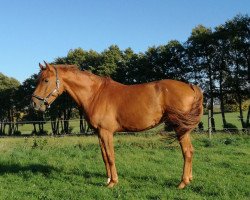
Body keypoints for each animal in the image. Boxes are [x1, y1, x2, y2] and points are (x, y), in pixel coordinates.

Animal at [31, 62, 203, 189]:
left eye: (46, 80)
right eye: (38, 79)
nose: (34, 104)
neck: (95, 94)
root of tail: (190, 86)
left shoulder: (106, 132)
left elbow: (111, 156)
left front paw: (113, 182)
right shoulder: (99, 133)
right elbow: (104, 157)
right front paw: (107, 179)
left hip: (180, 128)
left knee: (187, 152)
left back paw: (182, 183)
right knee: (191, 151)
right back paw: (189, 179)